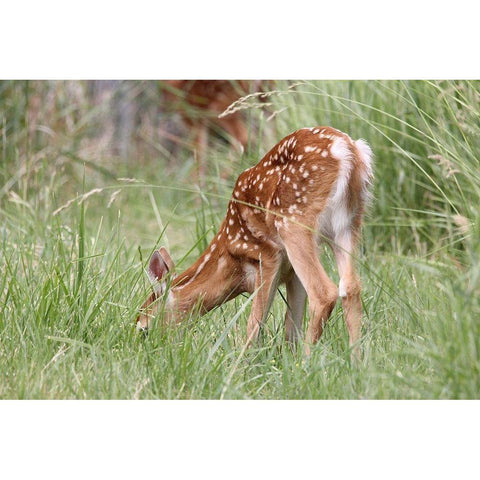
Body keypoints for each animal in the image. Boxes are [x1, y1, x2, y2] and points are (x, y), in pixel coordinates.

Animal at [137, 125, 374, 358]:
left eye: (143, 329)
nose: (149, 351)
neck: (229, 259)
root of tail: (347, 150)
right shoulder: (290, 273)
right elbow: (291, 325)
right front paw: (288, 360)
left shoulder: (265, 256)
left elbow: (256, 321)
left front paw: (242, 363)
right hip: (349, 223)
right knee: (351, 287)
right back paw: (356, 362)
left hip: (294, 222)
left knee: (324, 292)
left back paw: (308, 362)